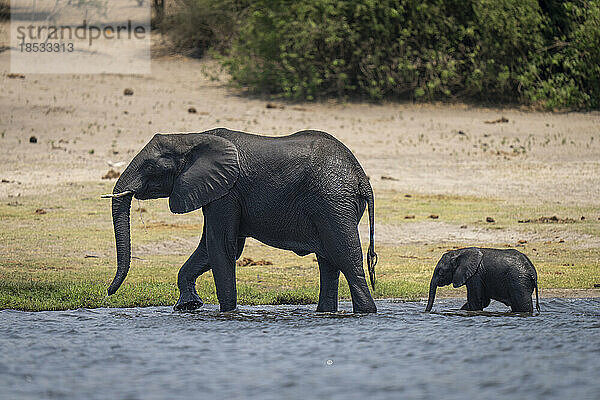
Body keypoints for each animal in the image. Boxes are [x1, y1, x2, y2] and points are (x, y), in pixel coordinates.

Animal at [103, 130, 376, 314]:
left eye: (151, 166)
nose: (108, 292)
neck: (191, 138)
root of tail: (362, 176)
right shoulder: (220, 192)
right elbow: (210, 249)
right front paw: (188, 305)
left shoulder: (226, 191)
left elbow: (221, 247)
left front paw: (227, 313)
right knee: (328, 260)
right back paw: (326, 313)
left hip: (333, 199)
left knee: (345, 255)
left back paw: (366, 312)